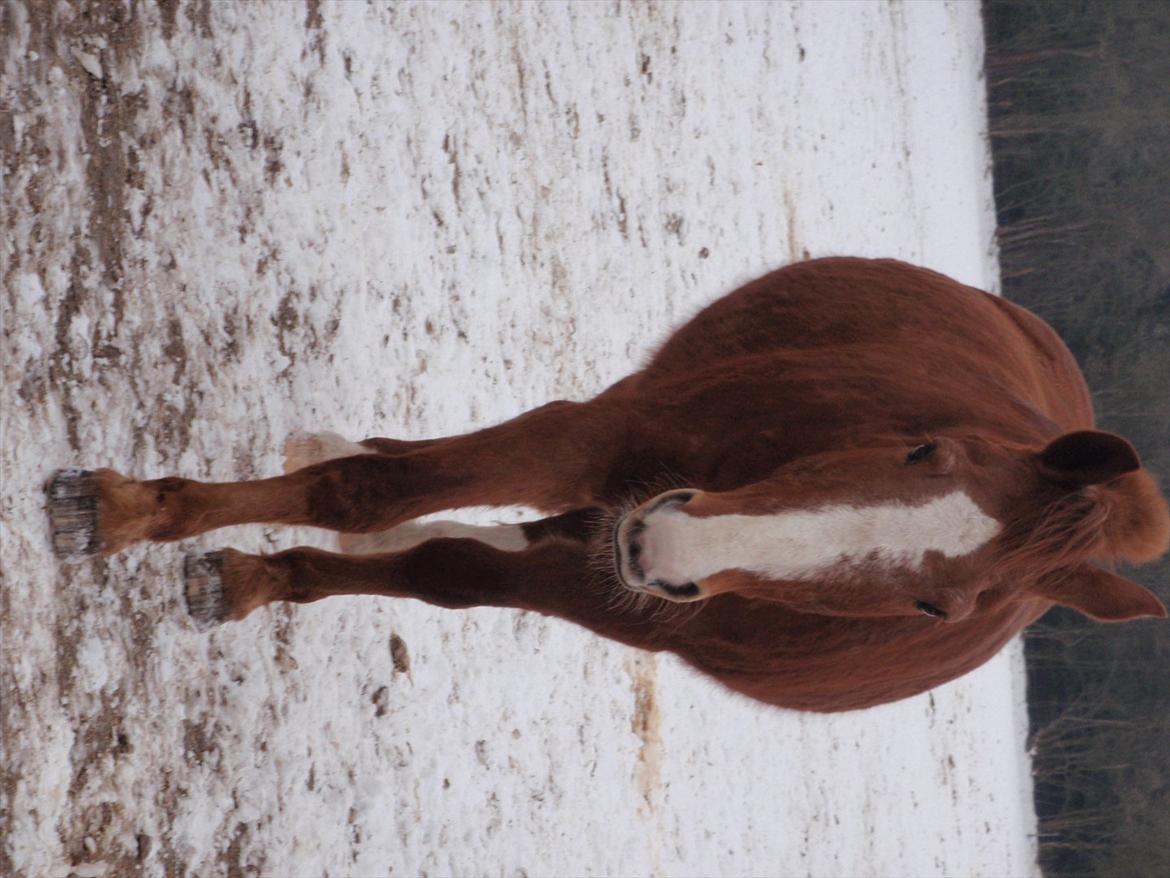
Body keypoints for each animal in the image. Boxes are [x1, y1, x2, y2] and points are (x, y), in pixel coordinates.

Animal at [50, 257, 1165, 711]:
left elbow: (442, 566)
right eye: (920, 452)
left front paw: (243, 571)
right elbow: (365, 490)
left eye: (939, 607)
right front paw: (124, 509)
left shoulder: (614, 590)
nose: (667, 547)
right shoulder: (601, 441)